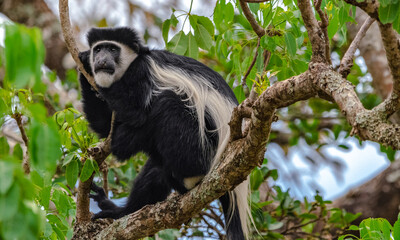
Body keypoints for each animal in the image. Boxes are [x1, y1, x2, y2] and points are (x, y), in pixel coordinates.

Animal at [79, 27, 250, 239]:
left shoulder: (141, 71)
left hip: (204, 148)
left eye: (112, 49)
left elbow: (134, 110)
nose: (100, 59)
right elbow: (104, 126)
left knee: (169, 102)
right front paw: (84, 61)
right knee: (156, 169)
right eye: (98, 49)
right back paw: (119, 211)